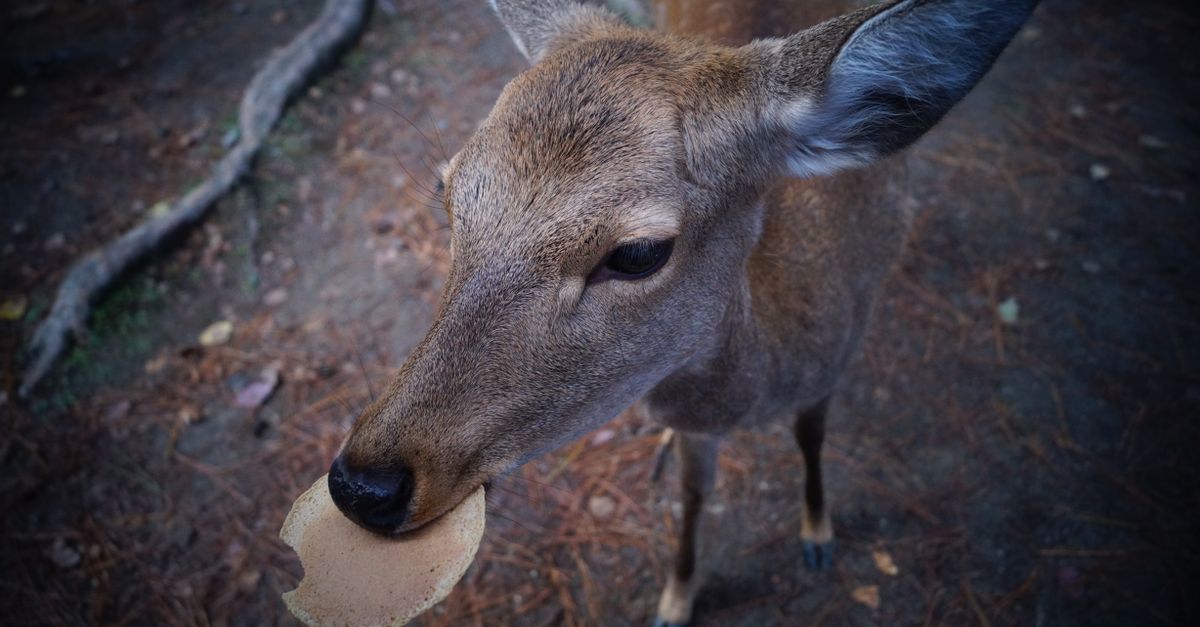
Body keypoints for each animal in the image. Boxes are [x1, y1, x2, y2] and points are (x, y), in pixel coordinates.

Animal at [323, 0, 1036, 624]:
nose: (364, 486)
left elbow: (812, 437)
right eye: (447, 191)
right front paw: (675, 600)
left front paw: (817, 536)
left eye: (638, 253)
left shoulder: (842, 349)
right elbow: (693, 496)